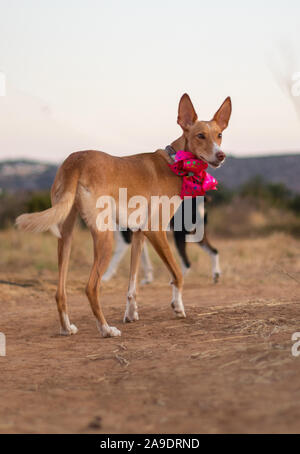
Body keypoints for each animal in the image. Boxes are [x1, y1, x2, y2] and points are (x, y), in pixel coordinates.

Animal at [15, 94, 232, 338]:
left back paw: (66, 328)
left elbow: (133, 282)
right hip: (106, 237)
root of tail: (76, 161)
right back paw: (106, 329)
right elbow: (177, 274)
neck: (174, 162)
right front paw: (177, 307)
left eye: (219, 135)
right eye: (200, 136)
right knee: (91, 287)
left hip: (66, 236)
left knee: (60, 291)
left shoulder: (138, 234)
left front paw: (131, 313)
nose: (221, 155)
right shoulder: (155, 231)